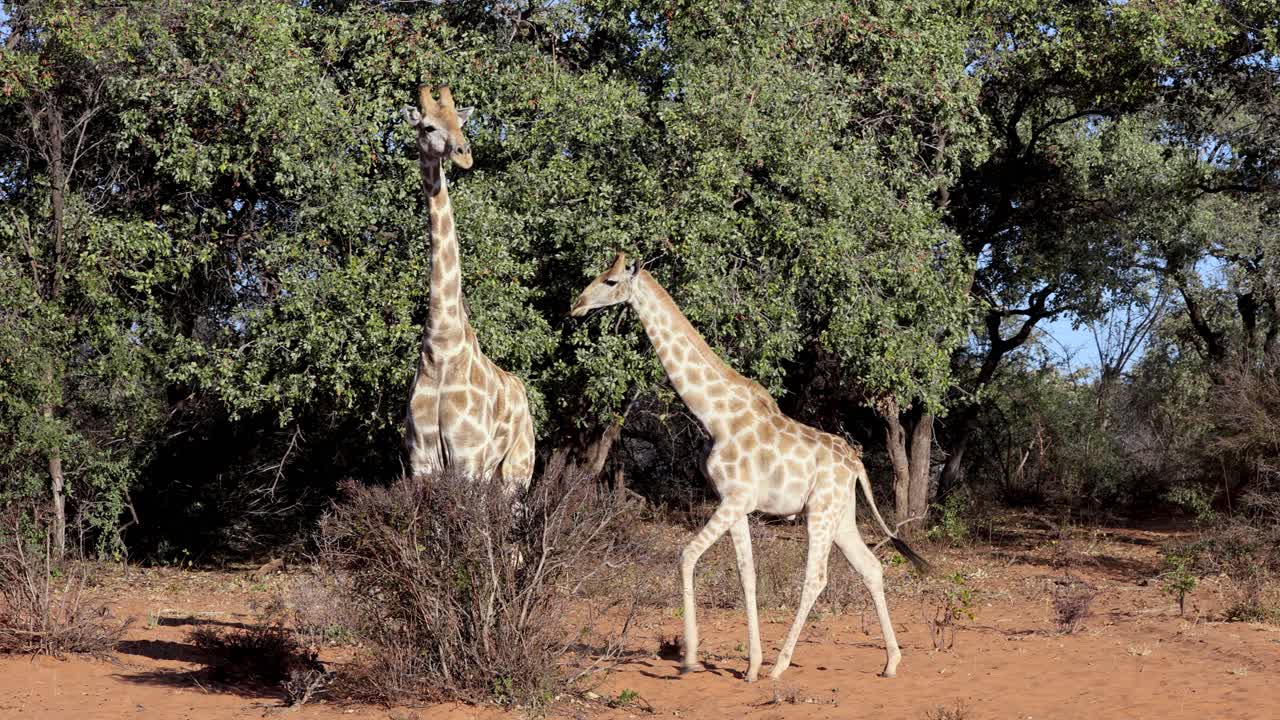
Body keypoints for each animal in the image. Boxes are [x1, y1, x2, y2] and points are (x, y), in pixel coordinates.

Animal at [399, 85, 534, 493]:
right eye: (428, 126)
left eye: (460, 122)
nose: (464, 154)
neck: (442, 345)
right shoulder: (421, 460)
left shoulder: (468, 458)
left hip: (516, 472)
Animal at [571, 252, 931, 682]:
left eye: (610, 281)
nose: (576, 305)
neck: (714, 415)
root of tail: (856, 464)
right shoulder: (736, 504)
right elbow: (747, 575)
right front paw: (750, 666)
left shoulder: (735, 498)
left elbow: (687, 555)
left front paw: (691, 658)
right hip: (841, 513)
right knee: (871, 567)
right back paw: (890, 662)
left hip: (821, 511)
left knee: (816, 577)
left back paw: (781, 664)